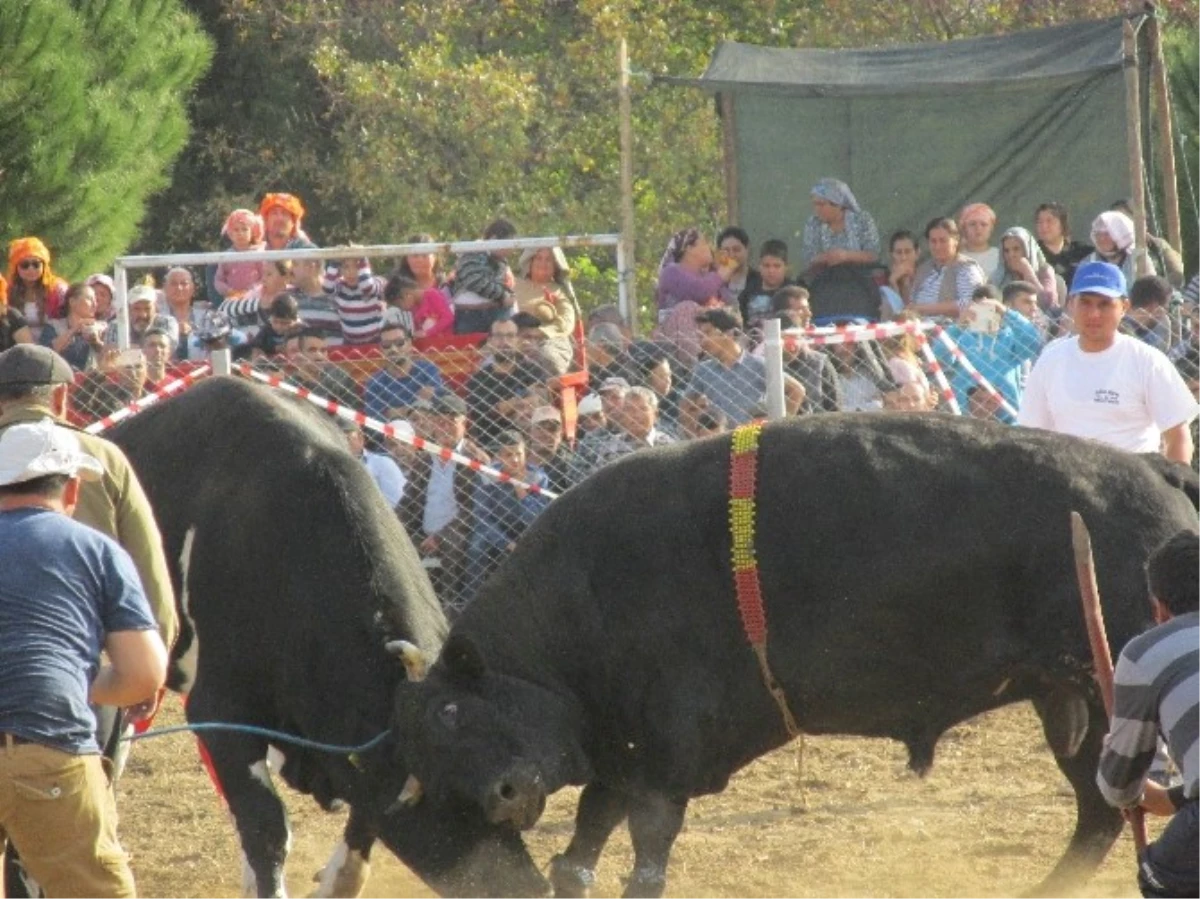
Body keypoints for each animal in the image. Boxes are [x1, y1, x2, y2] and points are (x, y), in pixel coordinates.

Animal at [388, 415, 1200, 897]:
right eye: (425, 747)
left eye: (456, 712)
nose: (501, 795)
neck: (587, 589)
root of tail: (1151, 468)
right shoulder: (621, 752)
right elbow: (582, 843)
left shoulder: (665, 756)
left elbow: (645, 847)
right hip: (1073, 702)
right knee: (1097, 811)